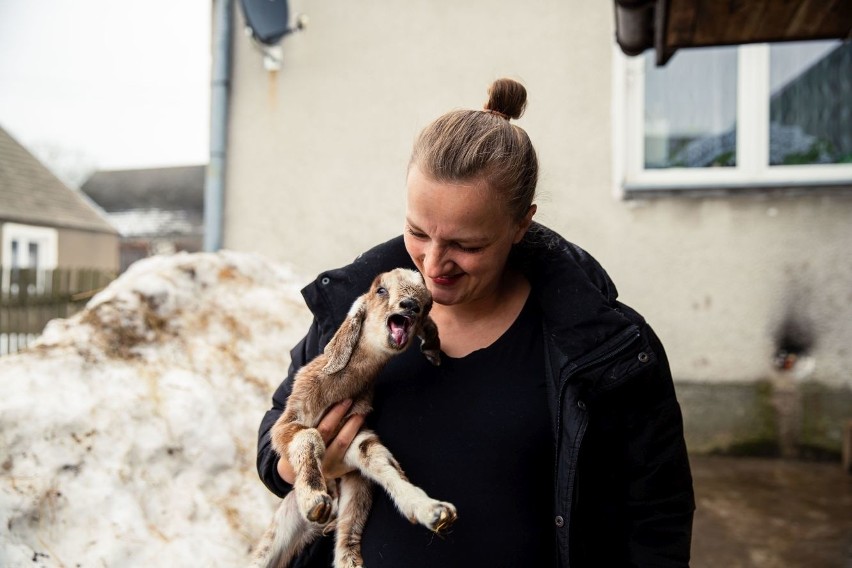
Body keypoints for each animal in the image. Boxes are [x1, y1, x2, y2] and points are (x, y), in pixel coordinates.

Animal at [250, 268, 456, 568]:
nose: (411, 306)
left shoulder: (356, 435)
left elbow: (381, 461)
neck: (340, 389)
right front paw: (315, 500)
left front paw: (433, 510)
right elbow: (308, 436)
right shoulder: (288, 421)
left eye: (428, 303)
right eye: (381, 290)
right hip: (282, 526)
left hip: (354, 499)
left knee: (346, 546)